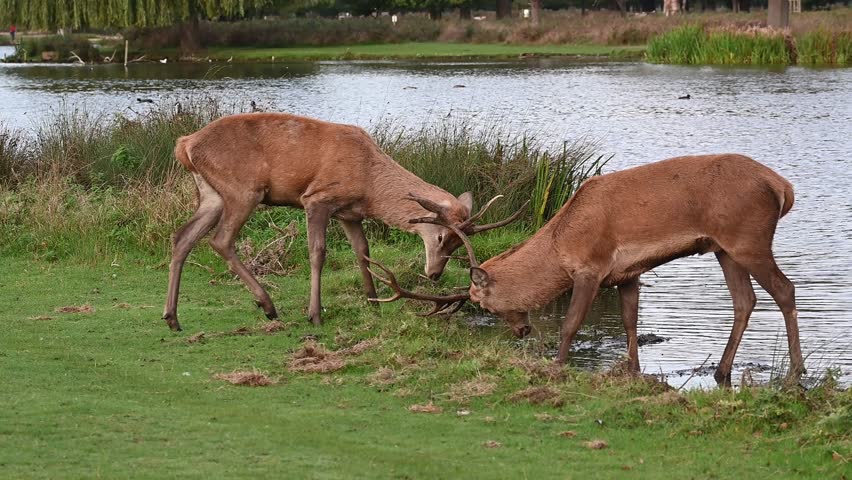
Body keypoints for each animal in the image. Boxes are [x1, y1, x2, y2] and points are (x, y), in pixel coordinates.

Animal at [162, 112, 524, 331]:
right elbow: (317, 253)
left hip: (211, 193)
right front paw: (315, 314)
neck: (369, 185)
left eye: (455, 244)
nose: (434, 274)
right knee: (220, 240)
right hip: (243, 190)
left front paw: (373, 303)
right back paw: (267, 305)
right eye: (439, 238)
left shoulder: (350, 214)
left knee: (182, 237)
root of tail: (184, 145)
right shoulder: (317, 199)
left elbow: (362, 251)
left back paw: (172, 317)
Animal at [366, 154, 805, 386]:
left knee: (784, 290)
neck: (561, 246)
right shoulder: (628, 274)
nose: (522, 330)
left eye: (482, 302)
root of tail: (783, 187)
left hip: (748, 238)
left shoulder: (591, 268)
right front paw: (632, 371)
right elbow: (629, 322)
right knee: (745, 300)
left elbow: (571, 323)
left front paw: (556, 366)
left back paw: (795, 373)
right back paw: (721, 371)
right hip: (724, 249)